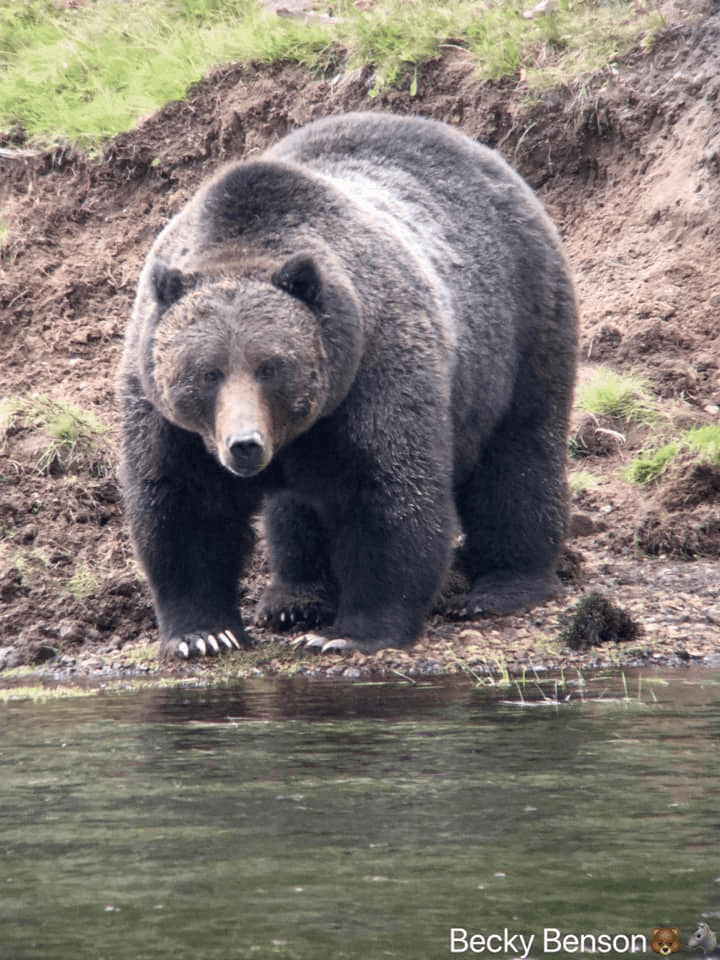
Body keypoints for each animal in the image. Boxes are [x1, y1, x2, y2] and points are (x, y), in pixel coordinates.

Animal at [118, 112, 578, 660]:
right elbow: (182, 507)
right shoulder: (167, 414)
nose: (244, 445)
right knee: (294, 510)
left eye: (271, 366)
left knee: (517, 459)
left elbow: (387, 495)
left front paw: (350, 633)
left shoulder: (374, 370)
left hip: (520, 324)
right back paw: (296, 598)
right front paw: (203, 634)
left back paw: (503, 587)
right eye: (206, 372)